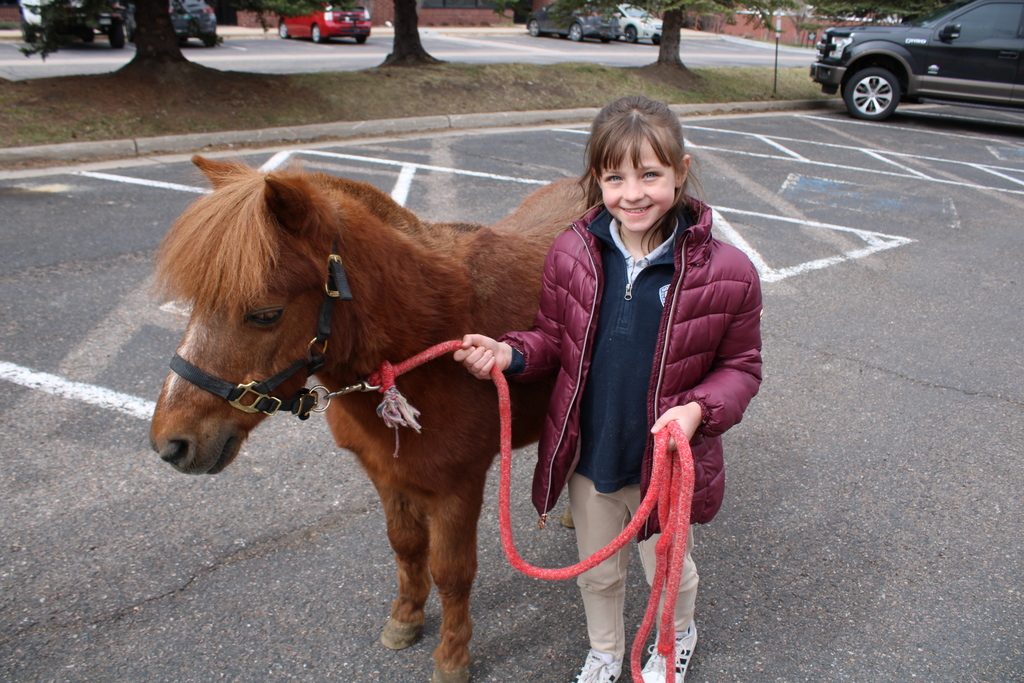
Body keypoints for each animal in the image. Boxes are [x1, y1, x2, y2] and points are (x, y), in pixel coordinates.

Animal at [149, 156, 585, 683]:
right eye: (195, 303)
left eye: (265, 315)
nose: (172, 444)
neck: (430, 339)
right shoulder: (386, 472)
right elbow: (406, 546)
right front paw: (406, 619)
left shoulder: (459, 486)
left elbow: (452, 572)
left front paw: (452, 656)